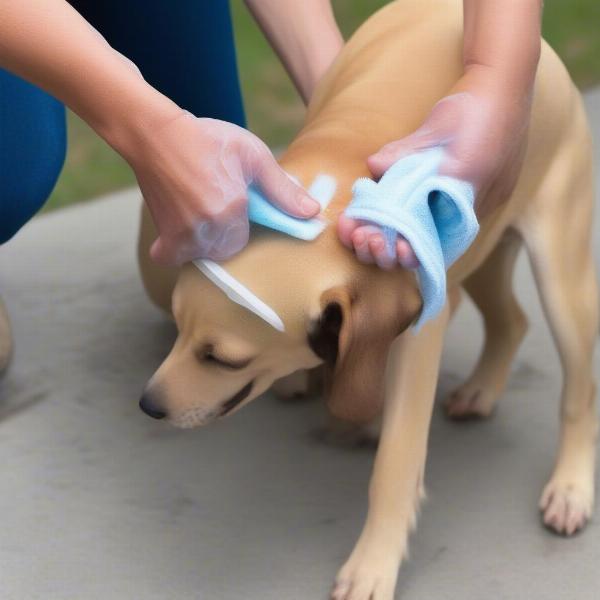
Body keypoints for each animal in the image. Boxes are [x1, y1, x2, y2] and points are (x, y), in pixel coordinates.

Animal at [137, 2, 600, 596]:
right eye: (176, 328)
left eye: (222, 358)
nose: (148, 405)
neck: (335, 188)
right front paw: (308, 379)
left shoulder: (417, 335)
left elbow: (396, 464)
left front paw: (373, 563)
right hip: (486, 245)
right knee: (511, 320)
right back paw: (480, 390)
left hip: (561, 274)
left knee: (578, 389)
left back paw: (570, 487)